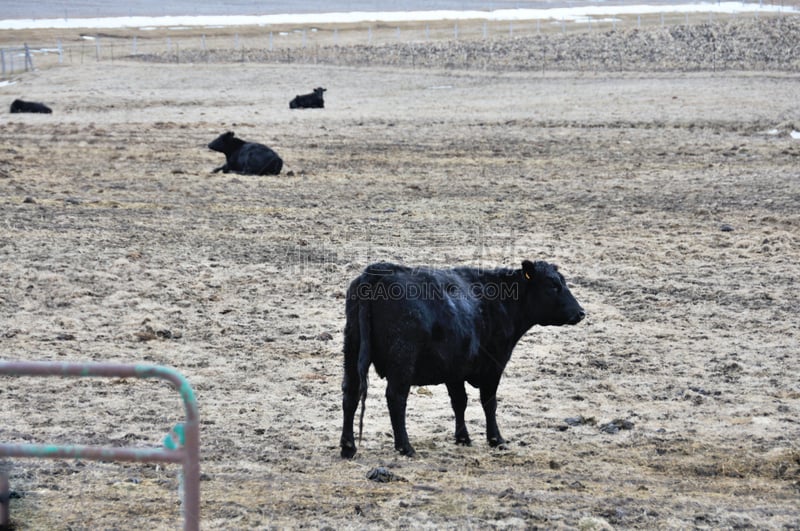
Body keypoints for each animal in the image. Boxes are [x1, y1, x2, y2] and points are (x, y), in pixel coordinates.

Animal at [340, 260, 584, 460]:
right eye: (553, 285)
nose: (581, 312)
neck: (501, 301)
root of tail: (377, 272)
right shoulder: (493, 366)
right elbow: (489, 402)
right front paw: (496, 439)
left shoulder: (454, 369)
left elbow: (459, 401)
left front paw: (463, 438)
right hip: (402, 360)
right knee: (396, 398)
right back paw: (405, 447)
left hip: (351, 351)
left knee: (350, 395)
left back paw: (348, 447)